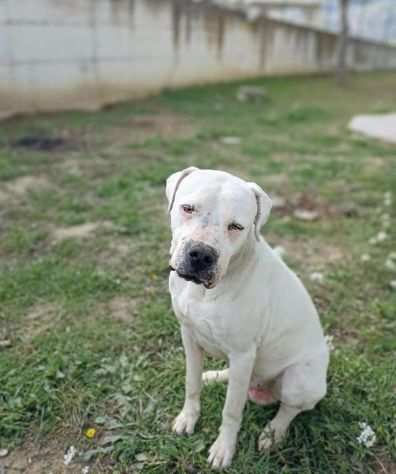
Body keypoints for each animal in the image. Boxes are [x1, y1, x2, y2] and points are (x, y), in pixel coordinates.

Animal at [166, 168, 330, 470]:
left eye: (236, 227)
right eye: (188, 208)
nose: (202, 254)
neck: (204, 292)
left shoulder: (243, 353)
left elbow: (231, 410)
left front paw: (223, 449)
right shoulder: (188, 335)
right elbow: (191, 383)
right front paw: (188, 418)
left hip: (299, 379)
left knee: (289, 409)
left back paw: (272, 434)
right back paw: (215, 376)